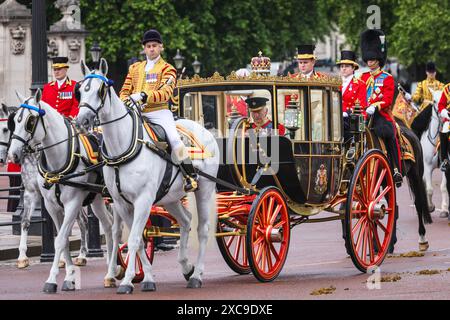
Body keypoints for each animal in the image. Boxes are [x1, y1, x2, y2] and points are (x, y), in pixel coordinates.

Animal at [0, 104, 89, 268]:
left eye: (5, 129)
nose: (7, 157)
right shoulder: (31, 192)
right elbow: (25, 221)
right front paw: (22, 256)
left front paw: (61, 259)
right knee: (83, 220)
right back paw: (82, 254)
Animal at [76, 58, 220, 294]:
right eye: (80, 90)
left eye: (101, 90)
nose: (82, 120)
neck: (124, 147)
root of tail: (204, 129)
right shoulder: (121, 203)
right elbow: (140, 240)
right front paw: (147, 278)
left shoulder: (143, 200)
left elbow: (134, 238)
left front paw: (126, 281)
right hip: (170, 197)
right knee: (185, 220)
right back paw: (185, 266)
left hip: (205, 190)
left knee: (203, 230)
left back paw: (196, 275)